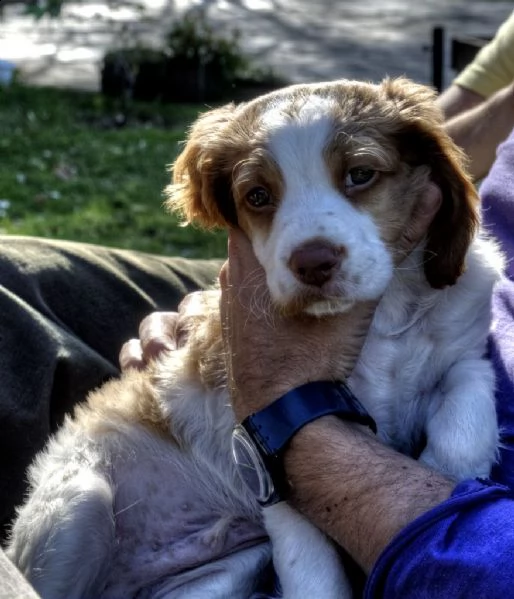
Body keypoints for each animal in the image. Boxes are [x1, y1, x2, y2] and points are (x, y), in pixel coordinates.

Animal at [8, 81, 502, 599]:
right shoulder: (271, 459)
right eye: (258, 195)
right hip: (78, 504)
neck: (381, 314)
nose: (313, 262)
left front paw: (450, 478)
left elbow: (467, 411)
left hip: (222, 575)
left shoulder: (466, 349)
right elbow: (312, 574)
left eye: (361, 174)